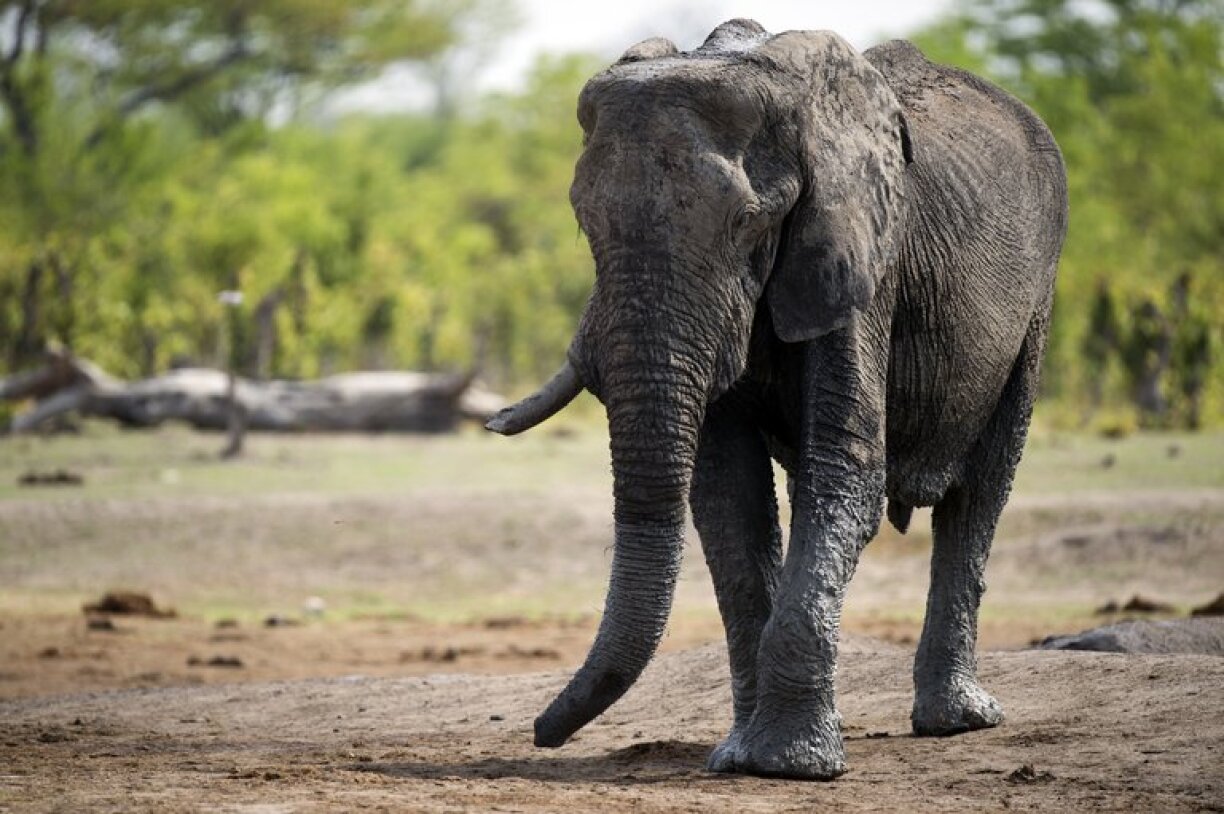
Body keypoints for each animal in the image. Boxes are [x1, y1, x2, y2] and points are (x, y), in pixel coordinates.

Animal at [487, 18, 1068, 780]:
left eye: (748, 222)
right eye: (585, 221)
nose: (538, 733)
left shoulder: (862, 256)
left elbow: (844, 472)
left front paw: (791, 765)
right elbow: (728, 497)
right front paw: (742, 754)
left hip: (1037, 297)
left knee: (981, 492)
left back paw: (957, 722)